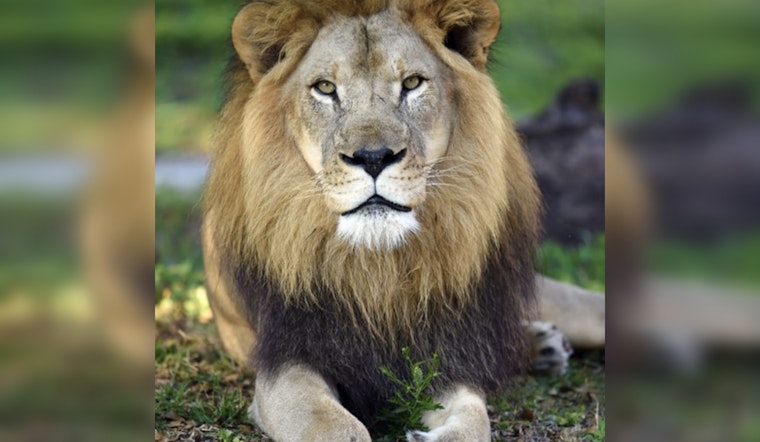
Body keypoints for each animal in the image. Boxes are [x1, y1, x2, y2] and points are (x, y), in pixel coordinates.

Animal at [202, 1, 599, 440]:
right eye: (325, 88)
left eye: (411, 83)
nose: (373, 157)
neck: (379, 269)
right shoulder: (286, 363)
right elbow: (336, 428)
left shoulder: (443, 356)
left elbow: (473, 420)